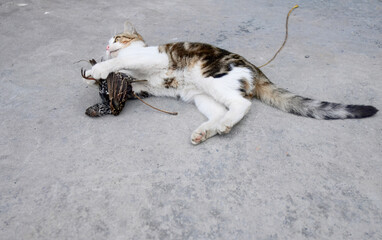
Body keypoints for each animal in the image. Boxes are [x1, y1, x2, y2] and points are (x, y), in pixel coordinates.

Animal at [82, 22, 378, 144]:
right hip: (201, 96)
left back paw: (223, 125)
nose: (107, 47)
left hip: (211, 78)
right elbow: (135, 82)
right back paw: (206, 131)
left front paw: (98, 70)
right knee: (222, 111)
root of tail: (255, 69)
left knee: (242, 105)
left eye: (117, 38)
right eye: (109, 42)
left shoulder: (152, 58)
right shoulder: (145, 80)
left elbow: (122, 63)